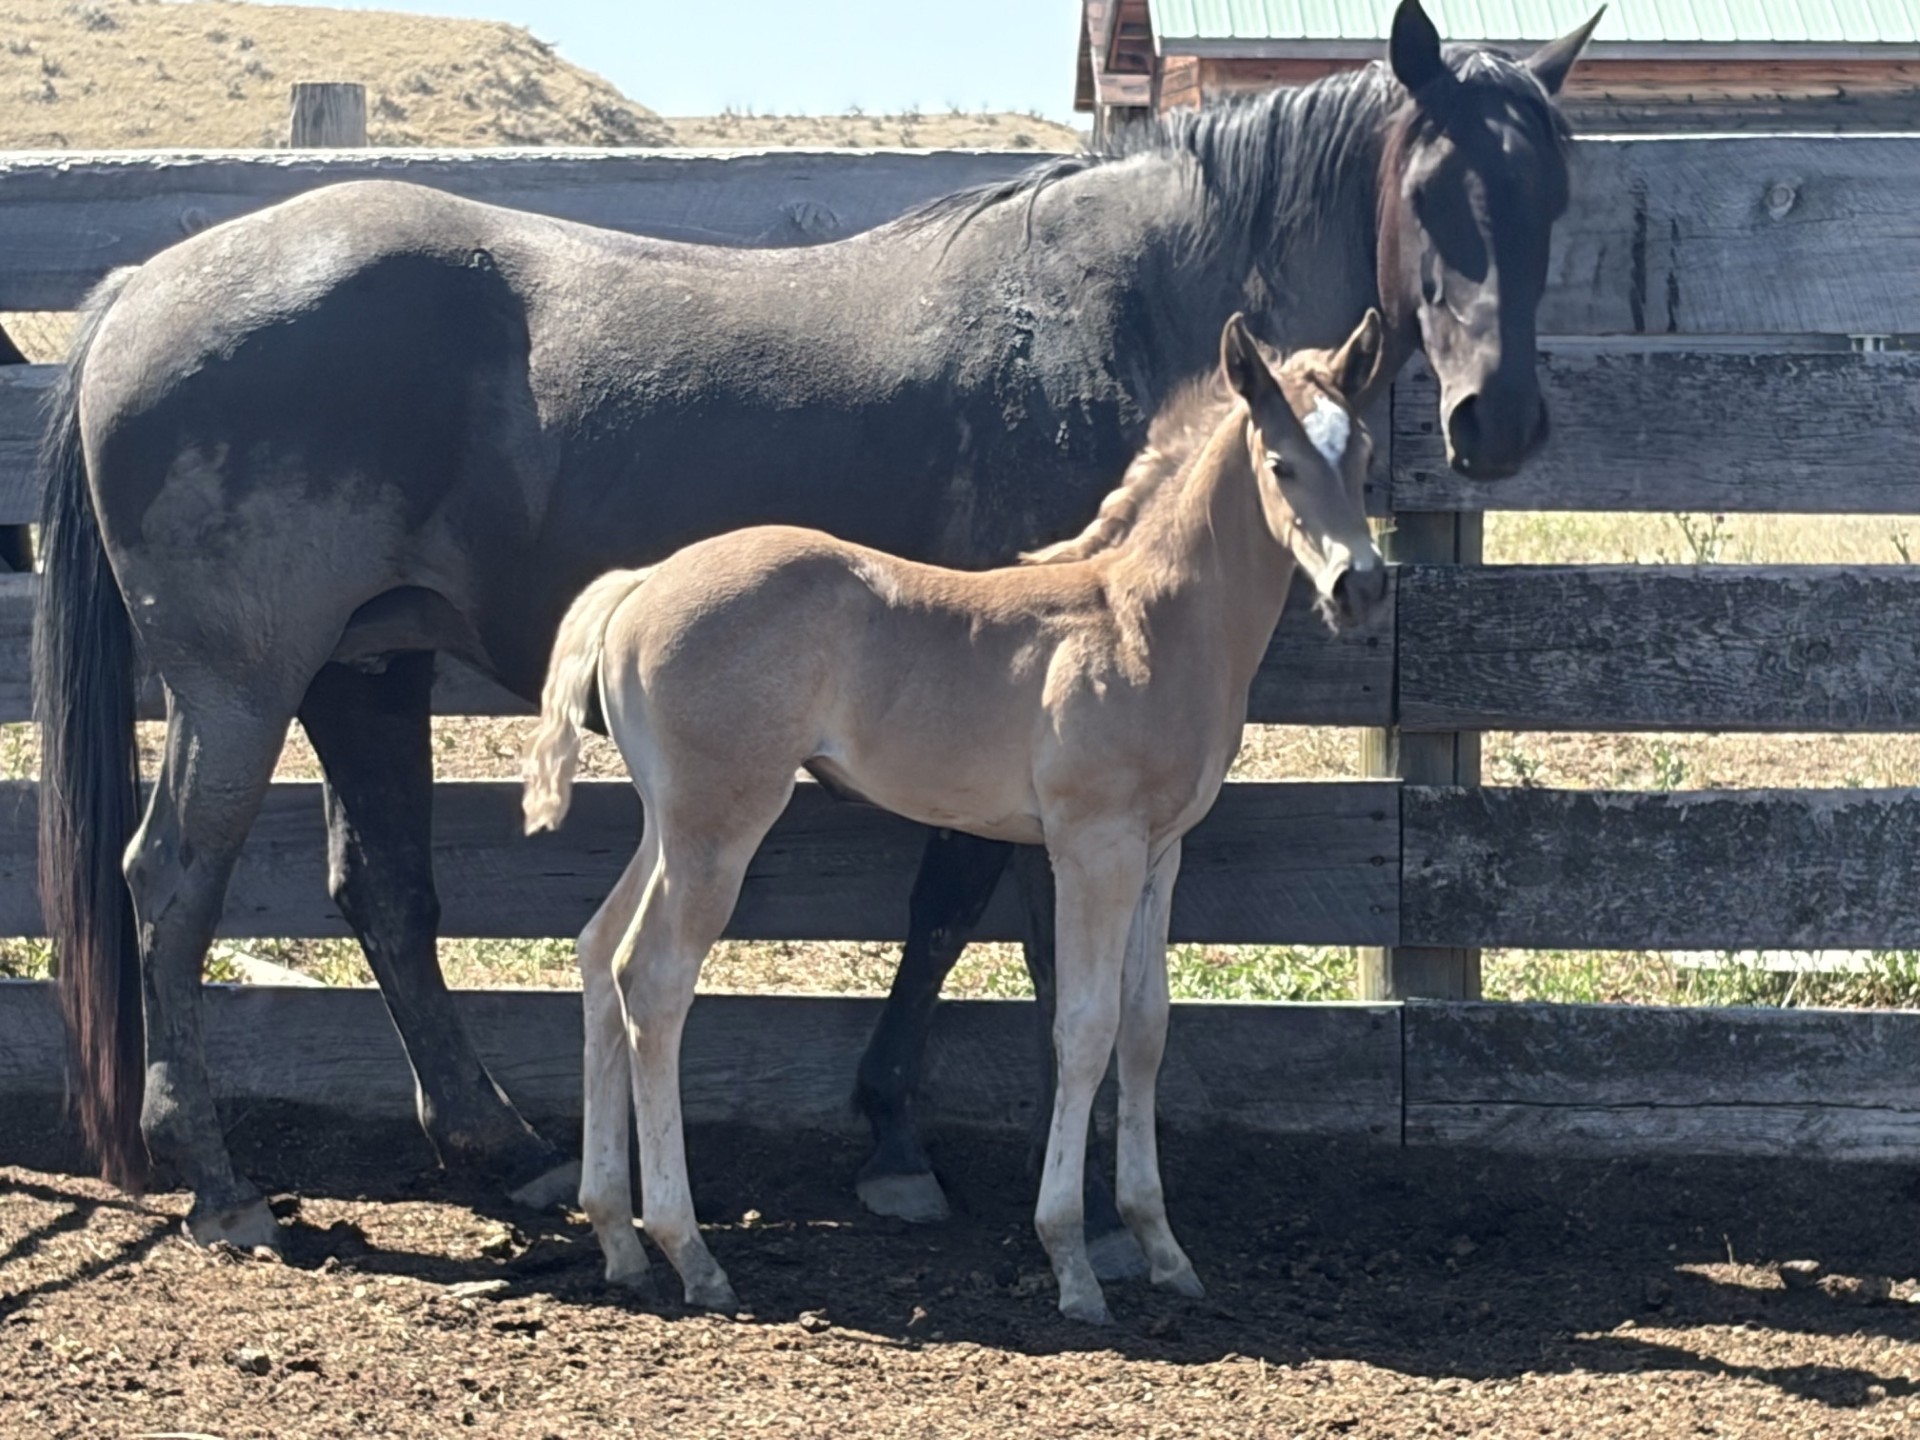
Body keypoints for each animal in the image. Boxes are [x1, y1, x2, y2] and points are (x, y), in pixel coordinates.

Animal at [522, 310, 1390, 1323]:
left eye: (1362, 455)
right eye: (1281, 463)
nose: (1359, 586)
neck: (1148, 624)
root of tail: (642, 582)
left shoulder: (1159, 853)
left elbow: (1146, 1031)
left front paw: (1166, 1250)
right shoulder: (1092, 848)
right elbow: (1083, 1029)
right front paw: (1074, 1262)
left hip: (671, 822)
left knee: (596, 951)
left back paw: (617, 1238)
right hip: (718, 828)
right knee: (652, 981)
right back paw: (690, 1252)